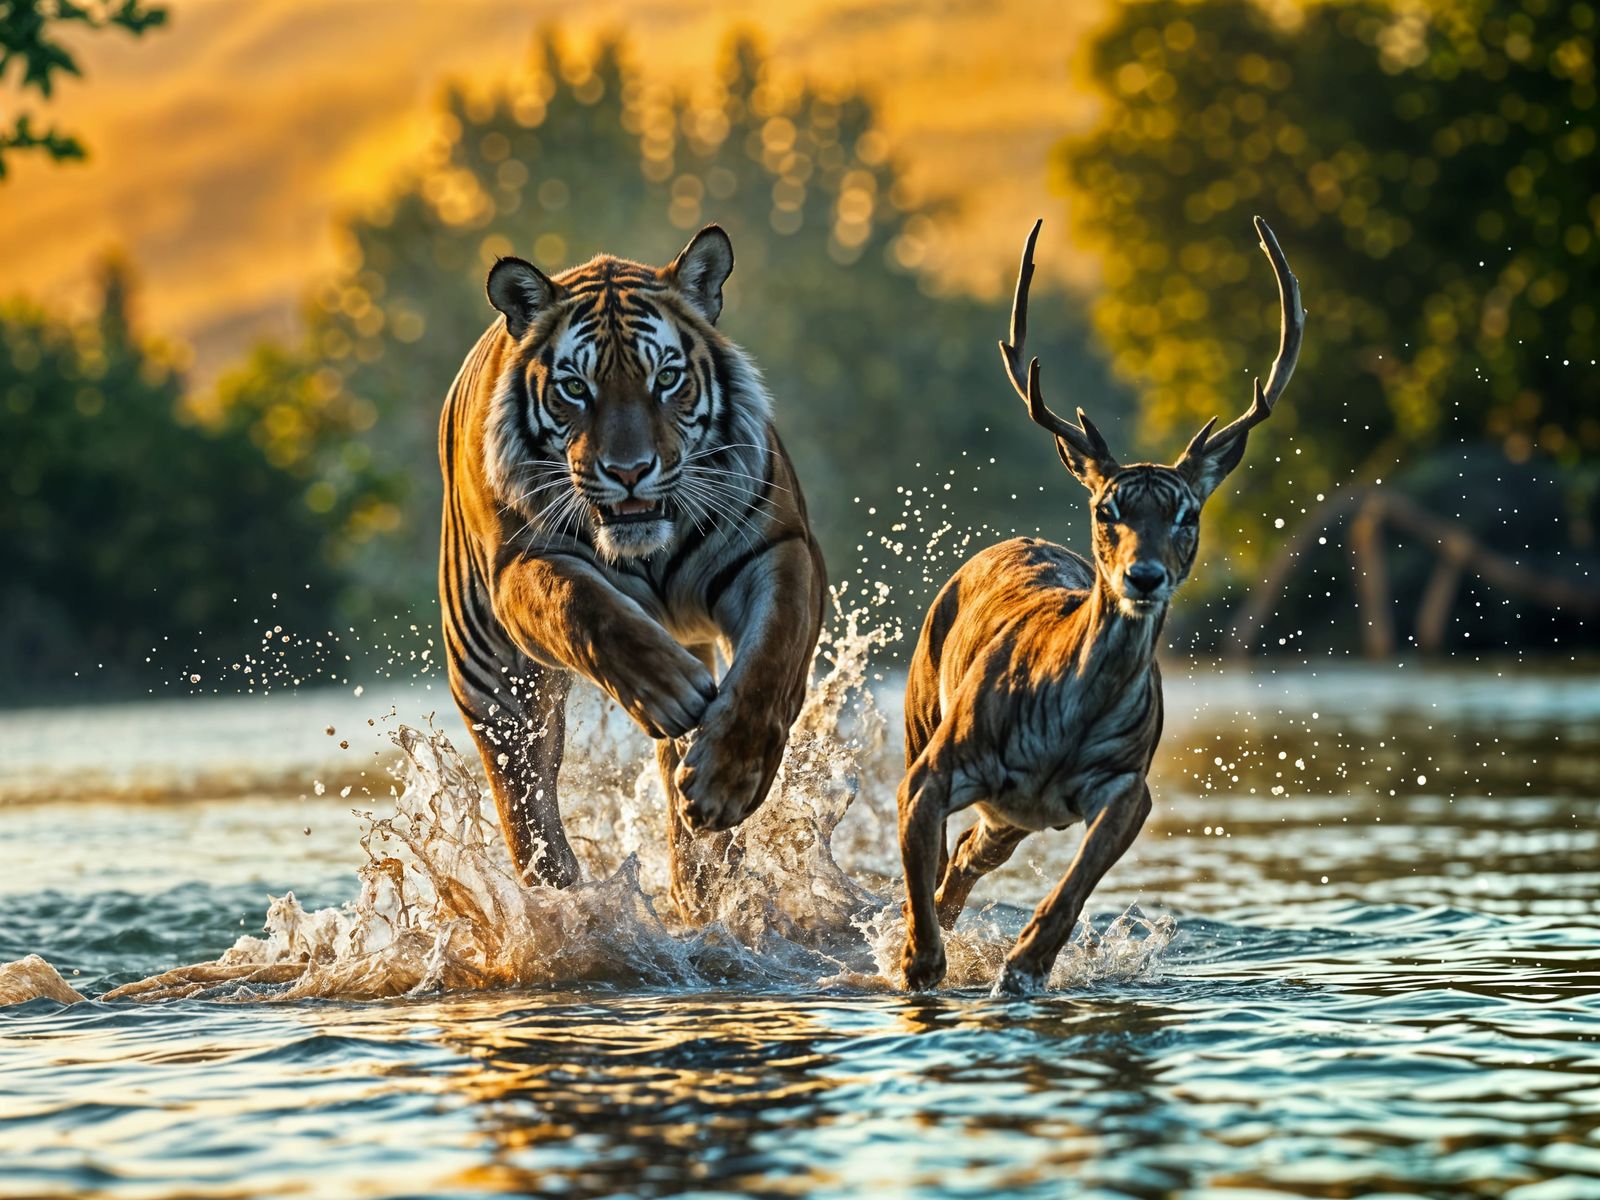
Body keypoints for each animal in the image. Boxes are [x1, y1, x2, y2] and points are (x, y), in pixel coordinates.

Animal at [437, 225, 827, 923]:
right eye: (575, 388)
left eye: (666, 379)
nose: (628, 471)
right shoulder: (523, 568)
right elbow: (585, 608)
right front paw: (669, 691)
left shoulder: (781, 549)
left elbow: (769, 663)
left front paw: (726, 783)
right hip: (496, 684)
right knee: (528, 811)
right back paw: (565, 909)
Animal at [897, 216, 1303, 994]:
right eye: (1107, 508)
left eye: (1186, 513)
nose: (1143, 577)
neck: (1062, 725)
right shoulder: (929, 771)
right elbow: (918, 906)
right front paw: (916, 960)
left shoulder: (1127, 787)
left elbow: (1070, 891)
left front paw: (1022, 967)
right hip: (921, 715)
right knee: (945, 868)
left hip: (1011, 816)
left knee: (966, 860)